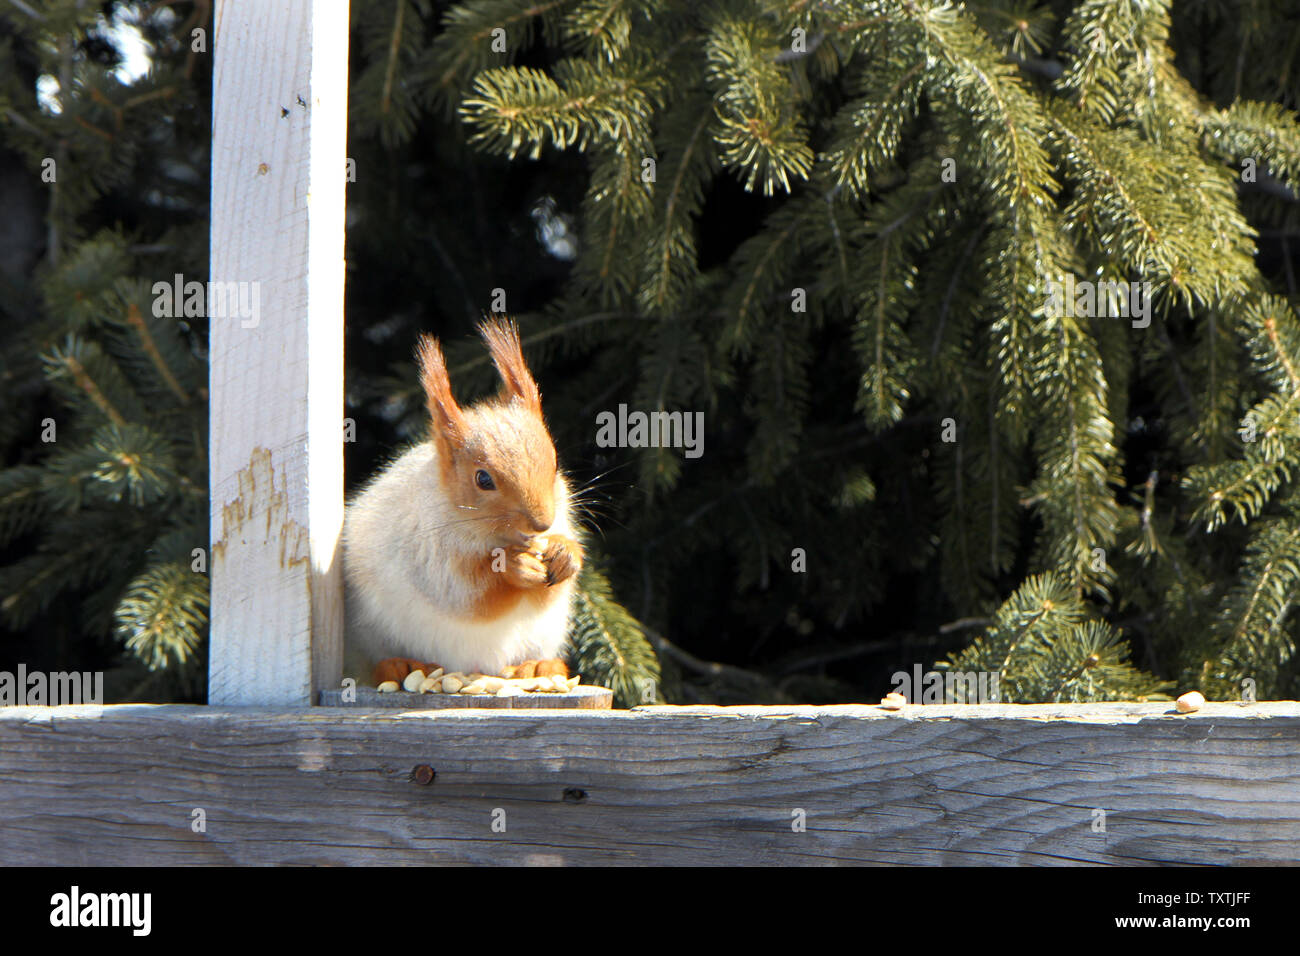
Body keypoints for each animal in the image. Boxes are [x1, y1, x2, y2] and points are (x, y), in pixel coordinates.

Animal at [345, 321, 590, 686]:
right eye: (483, 479)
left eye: (556, 462)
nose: (542, 523)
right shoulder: (425, 549)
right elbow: (466, 593)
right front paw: (513, 568)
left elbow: (552, 590)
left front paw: (565, 553)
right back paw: (403, 666)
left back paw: (536, 668)